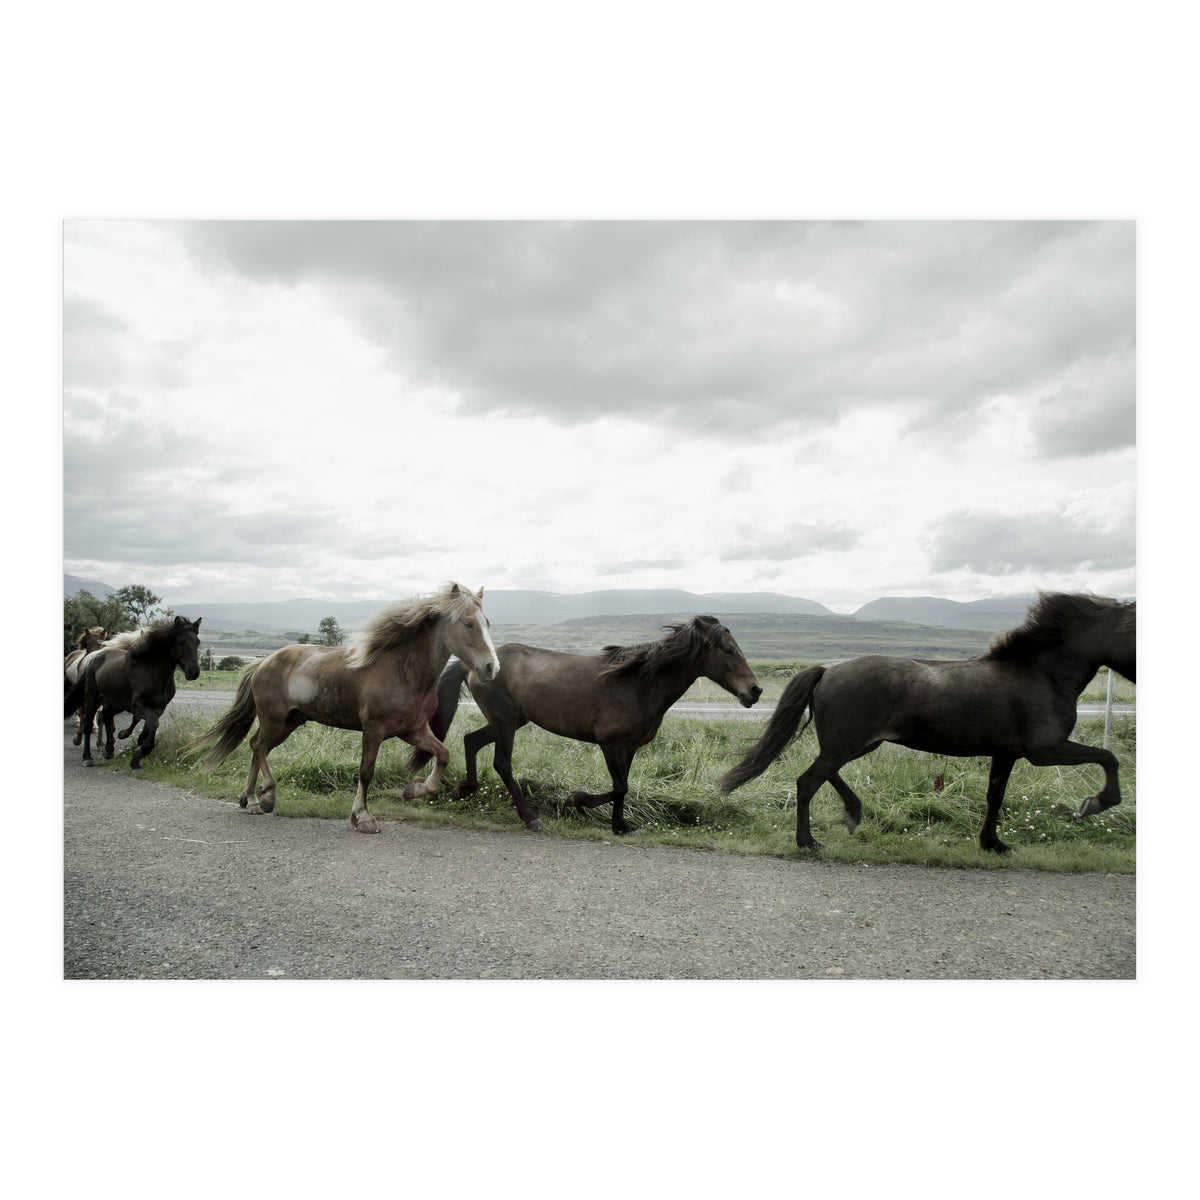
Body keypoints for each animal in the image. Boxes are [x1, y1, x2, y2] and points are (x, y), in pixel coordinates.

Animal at [64, 616, 203, 770]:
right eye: (181, 641)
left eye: (197, 642)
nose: (193, 672)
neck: (152, 672)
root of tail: (93, 657)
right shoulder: (138, 705)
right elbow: (152, 723)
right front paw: (140, 751)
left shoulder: (158, 708)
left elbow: (150, 724)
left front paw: (138, 748)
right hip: (92, 698)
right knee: (88, 724)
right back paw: (87, 757)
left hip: (116, 702)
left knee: (105, 715)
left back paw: (109, 749)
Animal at [191, 584, 499, 834]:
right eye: (468, 623)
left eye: (487, 623)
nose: (490, 668)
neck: (403, 670)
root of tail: (262, 662)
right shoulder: (373, 729)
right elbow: (366, 771)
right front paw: (362, 817)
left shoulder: (413, 730)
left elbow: (443, 755)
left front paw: (413, 790)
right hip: (274, 719)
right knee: (257, 747)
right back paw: (265, 797)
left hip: (289, 722)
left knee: (258, 747)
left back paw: (251, 800)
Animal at [420, 615, 762, 835]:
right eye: (728, 650)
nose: (755, 691)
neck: (638, 683)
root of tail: (478, 664)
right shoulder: (612, 745)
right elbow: (620, 786)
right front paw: (576, 801)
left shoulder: (630, 748)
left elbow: (623, 787)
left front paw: (620, 826)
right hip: (505, 723)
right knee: (502, 764)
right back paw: (530, 817)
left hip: (511, 721)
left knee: (470, 740)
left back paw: (464, 789)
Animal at [719, 592, 1136, 855]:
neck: (1040, 675)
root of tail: (829, 670)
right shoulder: (1045, 750)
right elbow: (1109, 757)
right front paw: (1095, 803)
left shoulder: (1006, 754)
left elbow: (995, 797)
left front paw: (994, 844)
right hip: (847, 743)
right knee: (808, 782)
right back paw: (810, 842)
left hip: (855, 743)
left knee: (824, 775)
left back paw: (852, 812)